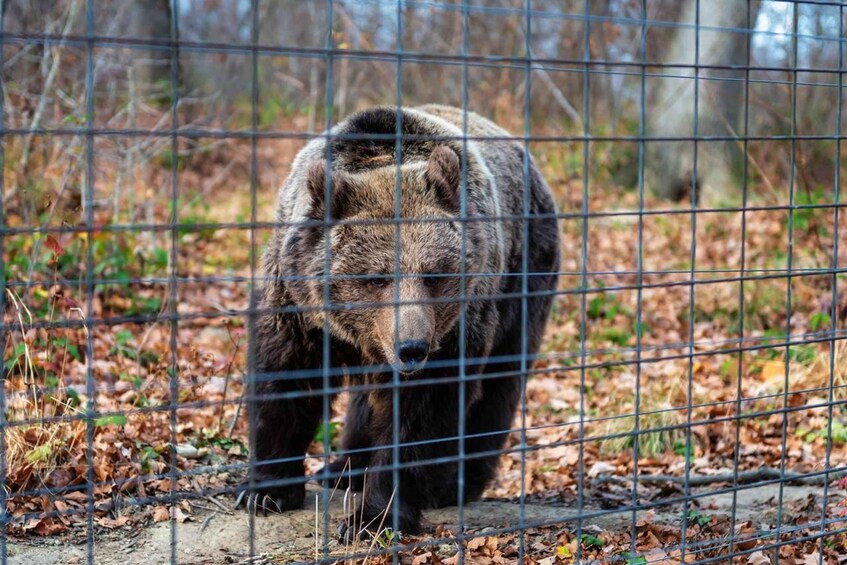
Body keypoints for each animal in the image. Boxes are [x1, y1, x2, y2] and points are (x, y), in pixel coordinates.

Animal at [237, 103, 564, 536]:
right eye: (376, 277)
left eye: (434, 275)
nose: (412, 348)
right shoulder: (300, 306)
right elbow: (286, 380)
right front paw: (266, 491)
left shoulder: (454, 330)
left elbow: (420, 415)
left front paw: (373, 517)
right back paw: (343, 469)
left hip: (523, 276)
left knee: (499, 385)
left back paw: (455, 484)